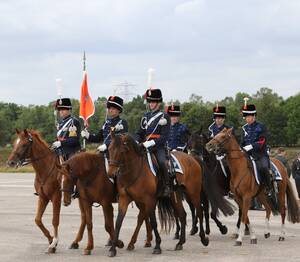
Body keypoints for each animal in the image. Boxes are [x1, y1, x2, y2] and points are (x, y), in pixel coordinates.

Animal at [106, 132, 234, 256]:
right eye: (109, 149)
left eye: (122, 151)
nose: (111, 173)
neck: (135, 170)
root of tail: (193, 158)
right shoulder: (124, 199)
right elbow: (118, 222)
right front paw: (113, 248)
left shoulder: (149, 200)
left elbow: (153, 222)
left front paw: (157, 245)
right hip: (176, 194)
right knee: (182, 215)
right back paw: (180, 242)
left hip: (193, 193)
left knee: (199, 211)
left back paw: (203, 238)